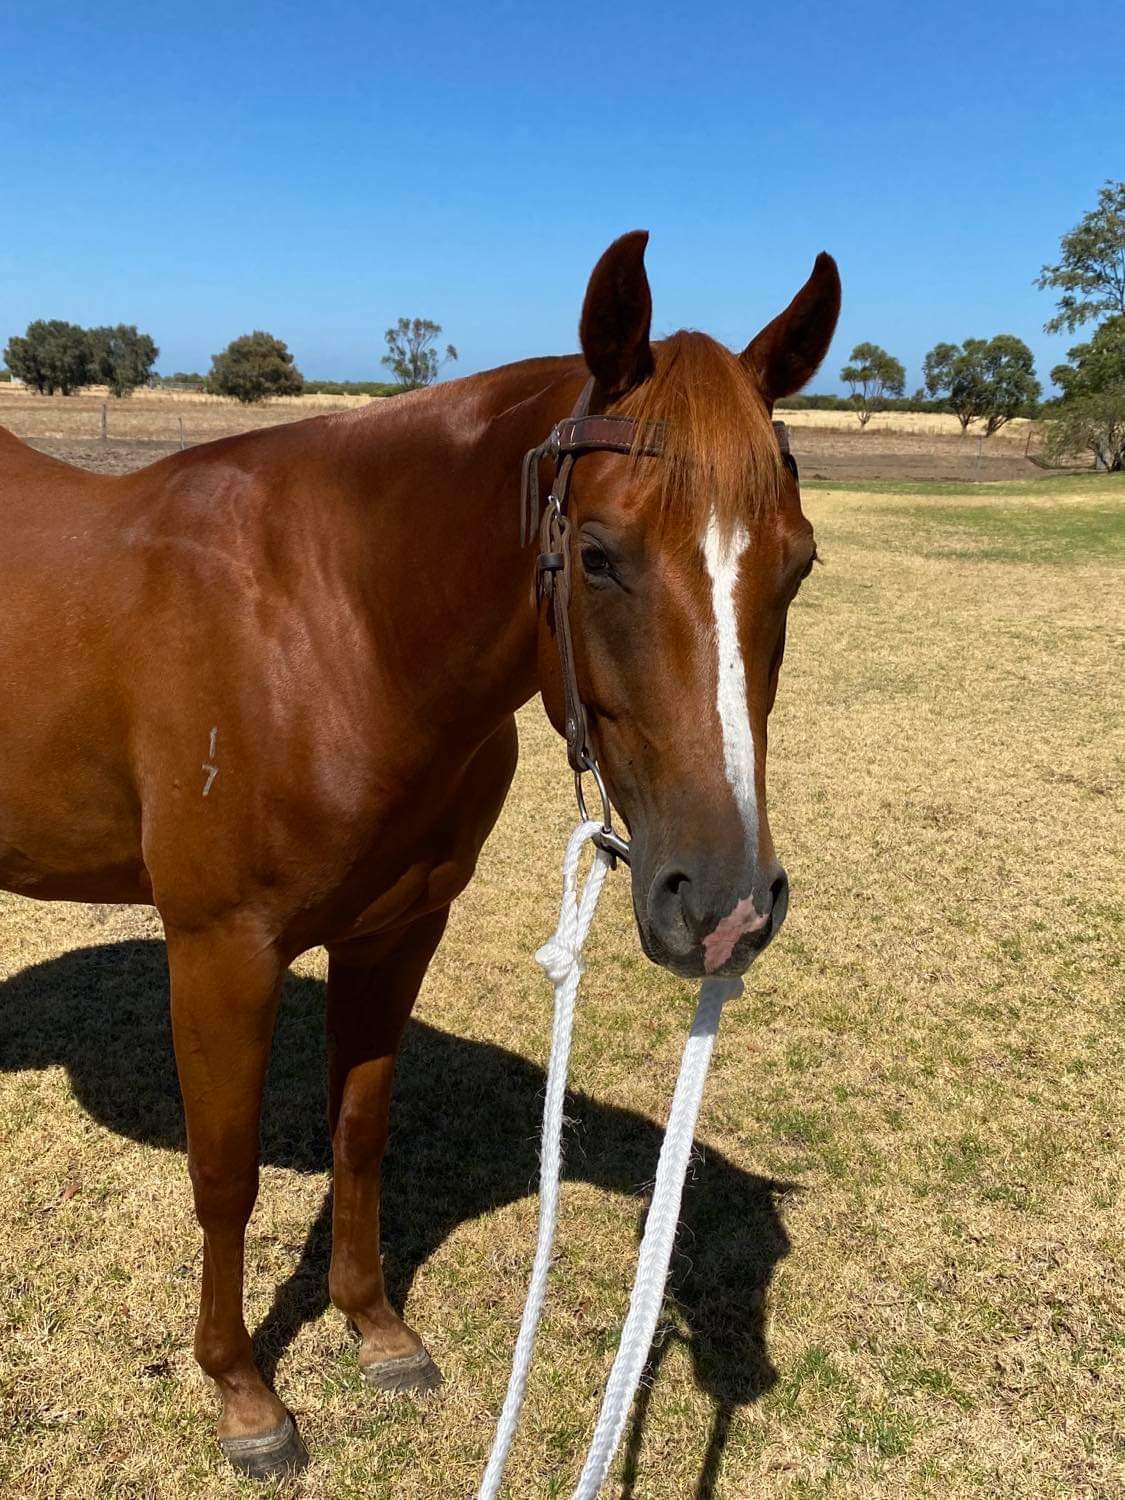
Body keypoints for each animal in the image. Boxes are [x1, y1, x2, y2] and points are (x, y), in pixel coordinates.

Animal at [0, 231, 840, 1477]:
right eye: (598, 556)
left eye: (799, 563)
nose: (726, 905)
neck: (332, 623)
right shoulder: (220, 951)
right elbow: (225, 1175)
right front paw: (244, 1396)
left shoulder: (396, 931)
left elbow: (360, 1133)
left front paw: (377, 1331)